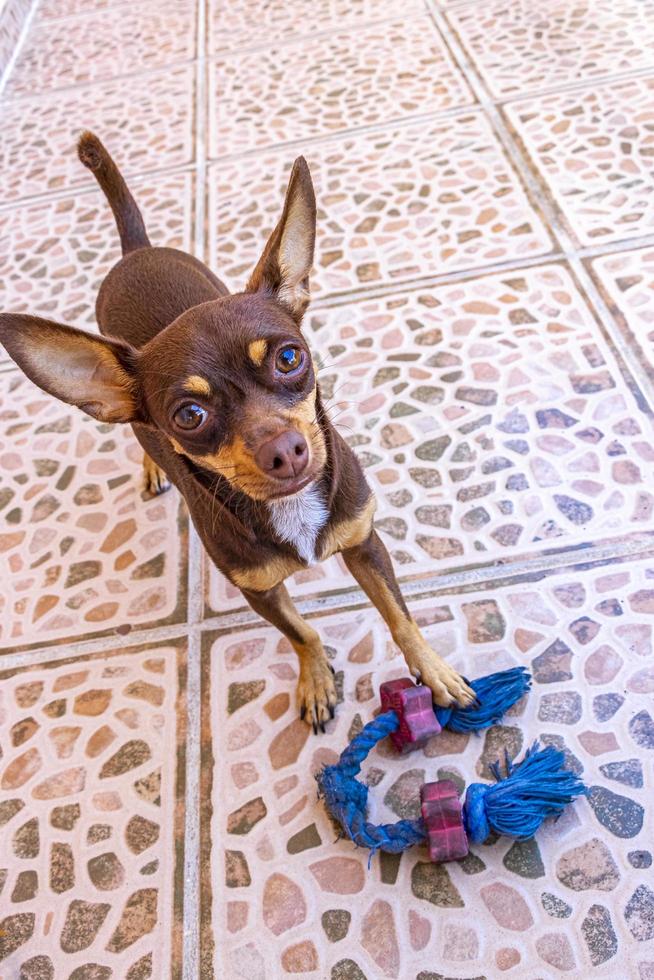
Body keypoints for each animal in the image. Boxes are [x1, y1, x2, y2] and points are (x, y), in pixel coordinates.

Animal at [0, 132, 474, 728]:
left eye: (290, 357)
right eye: (189, 416)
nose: (285, 451)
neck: (291, 511)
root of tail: (136, 251)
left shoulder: (365, 544)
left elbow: (400, 616)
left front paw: (434, 673)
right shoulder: (259, 592)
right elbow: (301, 632)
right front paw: (316, 680)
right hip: (125, 412)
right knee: (137, 434)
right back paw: (153, 464)